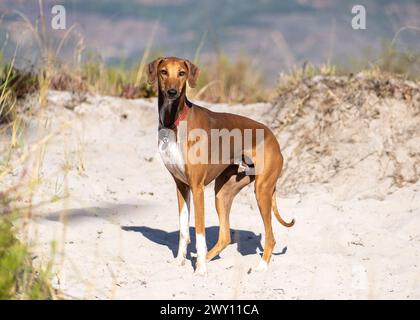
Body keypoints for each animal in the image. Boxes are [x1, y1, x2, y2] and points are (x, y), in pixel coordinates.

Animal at [146, 55, 294, 276]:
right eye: (164, 72)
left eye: (182, 73)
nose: (172, 92)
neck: (174, 122)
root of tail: (272, 136)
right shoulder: (181, 186)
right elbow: (183, 231)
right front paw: (181, 261)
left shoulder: (197, 188)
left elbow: (199, 232)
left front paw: (201, 271)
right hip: (222, 193)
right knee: (225, 236)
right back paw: (204, 259)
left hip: (262, 190)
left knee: (270, 236)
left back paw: (260, 266)